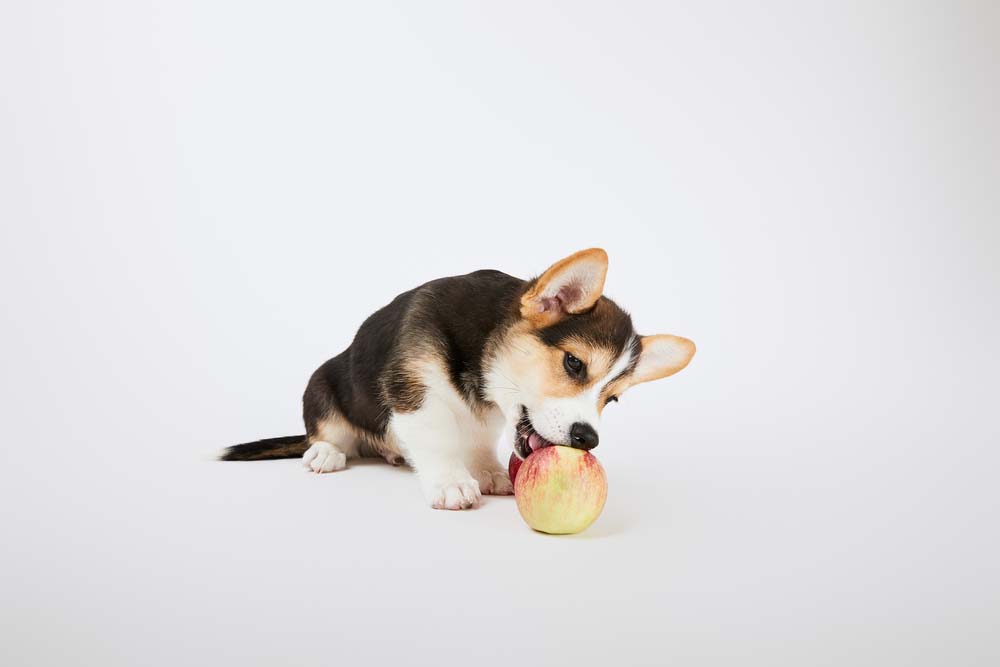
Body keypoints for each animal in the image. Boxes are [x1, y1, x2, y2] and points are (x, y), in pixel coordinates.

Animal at [221, 250, 696, 512]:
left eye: (612, 400)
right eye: (575, 364)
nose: (588, 439)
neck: (482, 352)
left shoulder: (487, 415)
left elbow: (480, 442)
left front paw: (487, 472)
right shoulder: (414, 392)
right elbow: (436, 438)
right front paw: (452, 483)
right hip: (320, 384)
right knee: (326, 431)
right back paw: (324, 453)